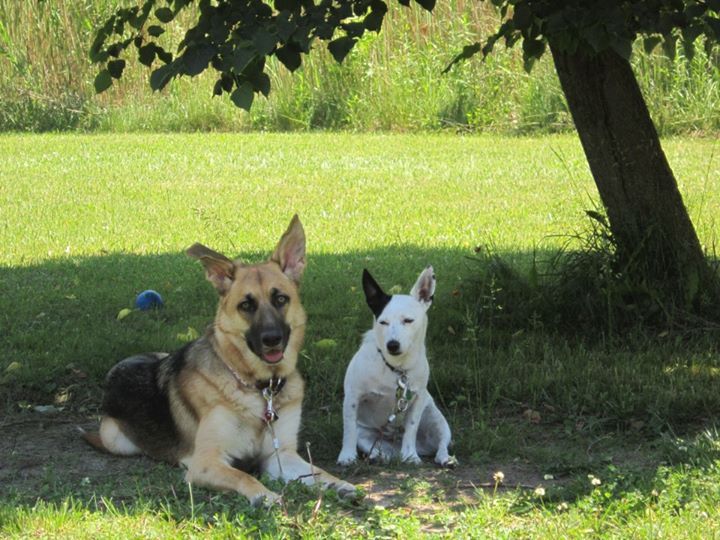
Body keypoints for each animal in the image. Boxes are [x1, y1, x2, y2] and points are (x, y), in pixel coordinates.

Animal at [86, 216, 356, 506]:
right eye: (246, 306)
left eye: (281, 299)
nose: (272, 339)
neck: (261, 389)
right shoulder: (206, 463)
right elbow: (243, 476)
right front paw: (265, 495)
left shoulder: (280, 456)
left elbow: (318, 472)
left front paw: (340, 484)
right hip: (117, 440)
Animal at [338, 266, 456, 464]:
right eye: (383, 322)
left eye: (408, 320)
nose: (392, 344)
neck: (396, 368)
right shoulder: (353, 398)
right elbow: (349, 430)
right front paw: (346, 456)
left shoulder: (418, 399)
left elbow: (411, 428)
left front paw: (410, 455)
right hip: (367, 437)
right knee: (378, 450)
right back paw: (378, 457)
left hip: (437, 420)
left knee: (441, 443)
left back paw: (443, 458)